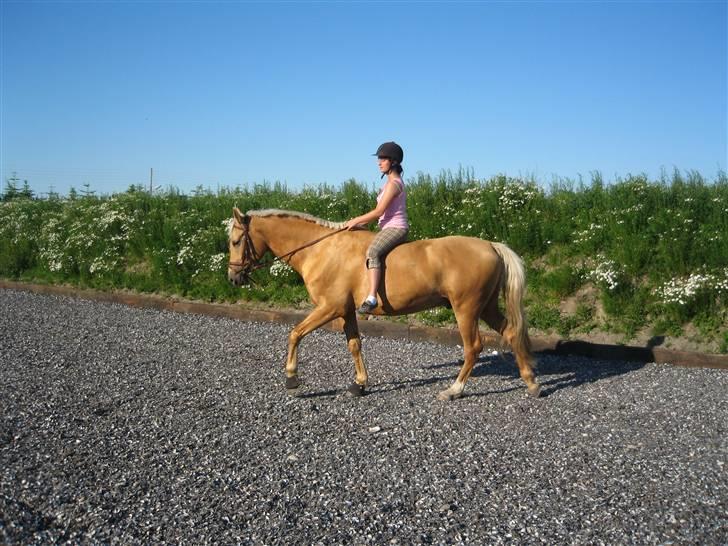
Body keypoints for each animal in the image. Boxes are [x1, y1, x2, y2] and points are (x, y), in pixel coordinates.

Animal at [228, 207, 540, 400]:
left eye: (235, 241)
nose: (233, 277)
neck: (321, 249)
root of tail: (491, 246)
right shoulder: (346, 311)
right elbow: (354, 345)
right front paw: (359, 384)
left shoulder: (329, 307)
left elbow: (295, 333)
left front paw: (292, 378)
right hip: (486, 307)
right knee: (512, 333)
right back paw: (532, 383)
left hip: (466, 309)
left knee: (473, 347)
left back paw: (454, 390)